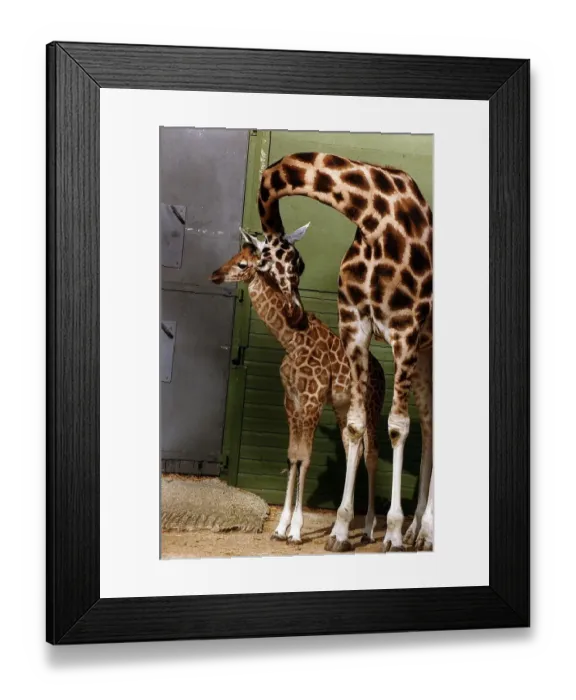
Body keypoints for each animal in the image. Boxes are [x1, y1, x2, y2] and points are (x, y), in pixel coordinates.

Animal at [210, 226, 385, 550]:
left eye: (242, 263)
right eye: (234, 255)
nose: (215, 274)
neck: (290, 340)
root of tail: (380, 370)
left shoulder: (312, 399)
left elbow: (305, 457)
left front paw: (296, 531)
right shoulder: (291, 401)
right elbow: (292, 456)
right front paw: (281, 527)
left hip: (372, 406)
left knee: (371, 454)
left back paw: (367, 529)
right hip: (342, 407)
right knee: (351, 449)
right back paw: (341, 528)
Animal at [255, 152, 434, 552]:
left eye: (299, 264)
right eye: (262, 268)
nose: (294, 314)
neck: (372, 217)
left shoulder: (404, 329)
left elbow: (397, 427)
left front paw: (392, 533)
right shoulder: (355, 325)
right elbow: (355, 427)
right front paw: (339, 530)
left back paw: (424, 532)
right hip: (426, 355)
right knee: (431, 425)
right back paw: (418, 530)